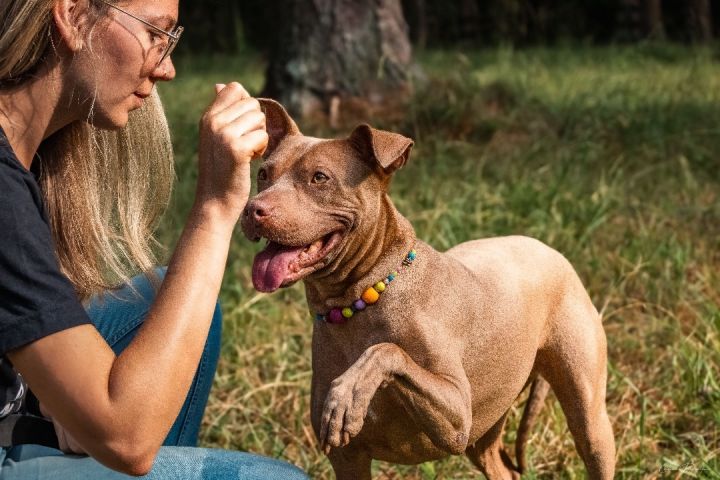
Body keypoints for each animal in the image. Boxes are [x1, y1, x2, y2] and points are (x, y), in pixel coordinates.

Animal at [242, 99, 612, 478]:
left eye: (320, 177)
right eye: (263, 174)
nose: (253, 210)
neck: (360, 299)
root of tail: (545, 246)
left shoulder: (455, 414)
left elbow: (387, 350)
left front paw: (346, 395)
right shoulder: (348, 460)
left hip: (588, 419)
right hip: (486, 431)